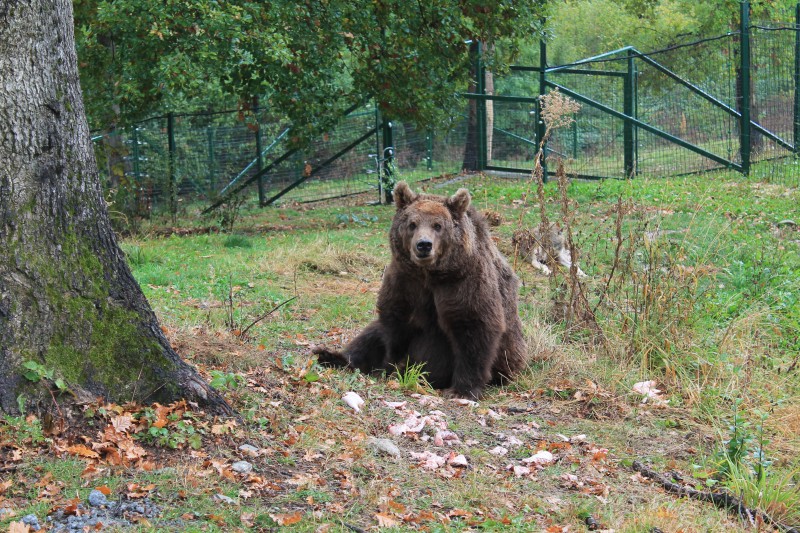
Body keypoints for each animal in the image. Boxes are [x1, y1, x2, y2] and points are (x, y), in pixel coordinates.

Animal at [314, 181, 532, 396]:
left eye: (438, 225)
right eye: (412, 224)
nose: (424, 245)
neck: (429, 274)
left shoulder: (464, 281)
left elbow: (474, 325)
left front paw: (463, 389)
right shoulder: (404, 280)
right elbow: (395, 322)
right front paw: (391, 365)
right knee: (369, 335)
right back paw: (329, 356)